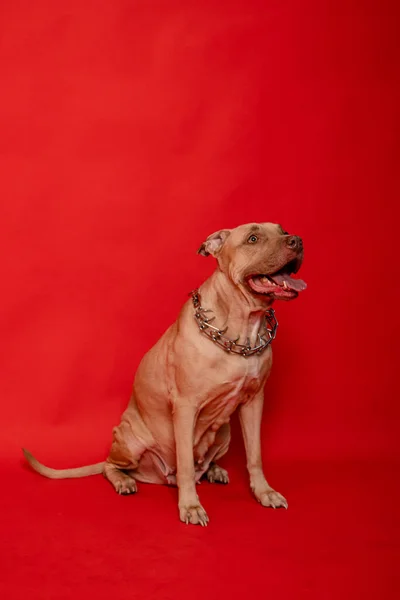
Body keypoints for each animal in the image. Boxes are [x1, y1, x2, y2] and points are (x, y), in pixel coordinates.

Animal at [23, 221, 306, 524]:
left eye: (282, 230)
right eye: (253, 238)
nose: (297, 241)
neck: (241, 330)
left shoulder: (254, 402)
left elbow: (255, 455)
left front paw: (265, 493)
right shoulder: (185, 407)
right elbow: (185, 463)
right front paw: (191, 506)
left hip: (224, 433)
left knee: (204, 462)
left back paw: (214, 470)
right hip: (130, 440)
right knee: (112, 466)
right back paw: (124, 481)